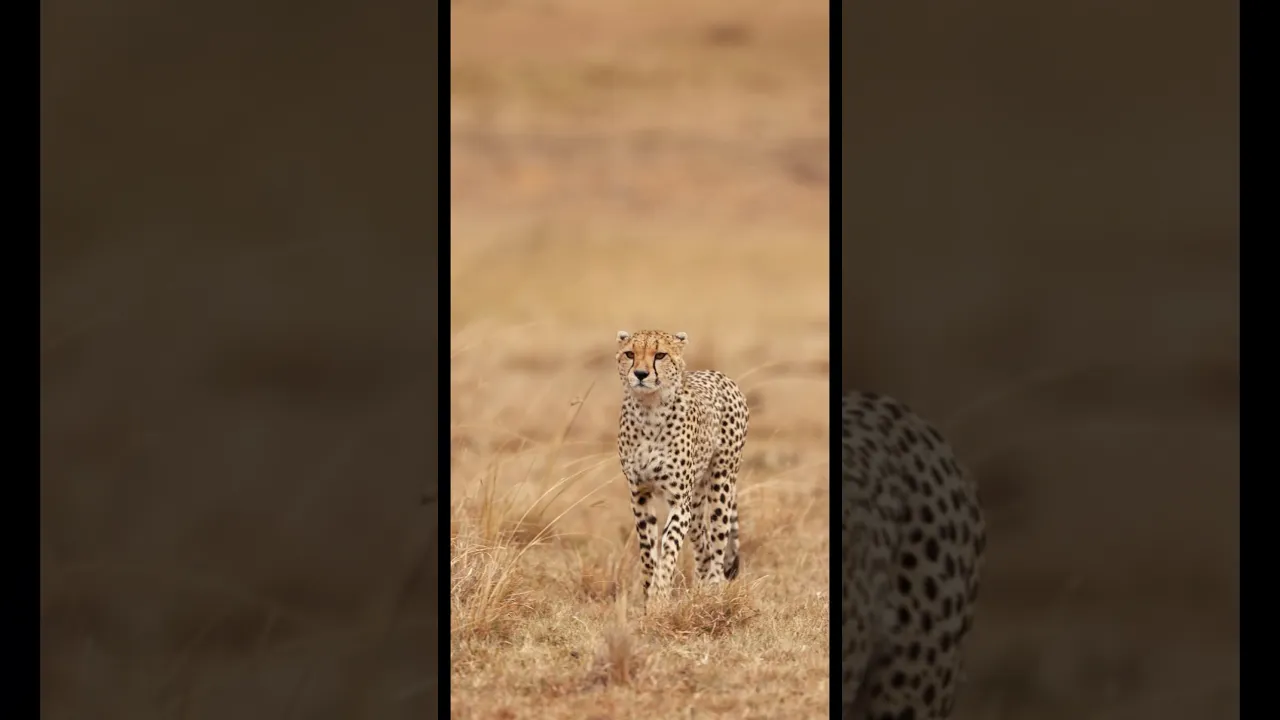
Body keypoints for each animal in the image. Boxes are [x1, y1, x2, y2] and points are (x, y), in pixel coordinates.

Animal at [614, 329, 750, 606]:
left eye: (660, 355)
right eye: (630, 354)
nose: (641, 374)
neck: (649, 409)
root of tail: (719, 374)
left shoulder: (679, 501)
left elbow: (668, 548)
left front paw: (659, 598)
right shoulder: (639, 495)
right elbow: (648, 552)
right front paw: (649, 596)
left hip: (720, 485)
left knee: (717, 544)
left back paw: (713, 592)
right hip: (696, 502)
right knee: (703, 544)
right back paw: (699, 589)